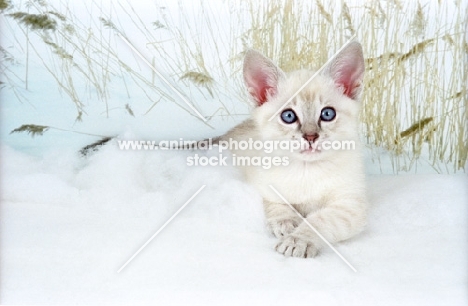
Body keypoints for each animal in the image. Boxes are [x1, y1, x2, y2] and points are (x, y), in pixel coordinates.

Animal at [219, 42, 370, 258]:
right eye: (288, 116)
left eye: (327, 114)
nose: (310, 136)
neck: (306, 169)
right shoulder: (263, 185)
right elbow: (277, 204)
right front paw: (286, 222)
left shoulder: (350, 205)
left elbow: (319, 220)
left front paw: (298, 239)